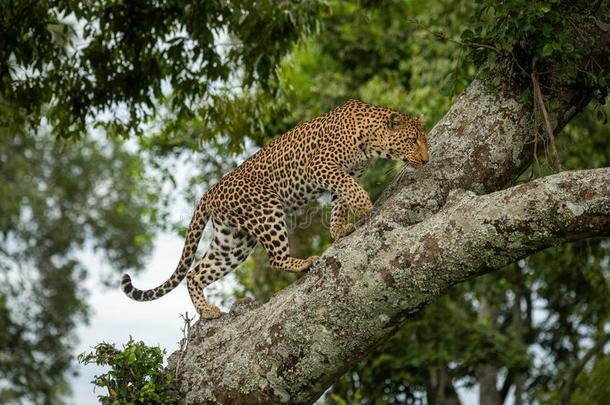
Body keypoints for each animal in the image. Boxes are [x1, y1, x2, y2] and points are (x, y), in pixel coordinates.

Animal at [121, 99, 428, 318]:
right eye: (412, 140)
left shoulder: (346, 173)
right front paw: (364, 206)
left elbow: (340, 202)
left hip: (234, 241)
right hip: (266, 211)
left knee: (196, 272)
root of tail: (210, 192)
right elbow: (351, 191)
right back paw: (302, 262)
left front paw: (340, 229)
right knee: (274, 258)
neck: (370, 141)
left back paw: (207, 312)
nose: (426, 160)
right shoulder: (323, 167)